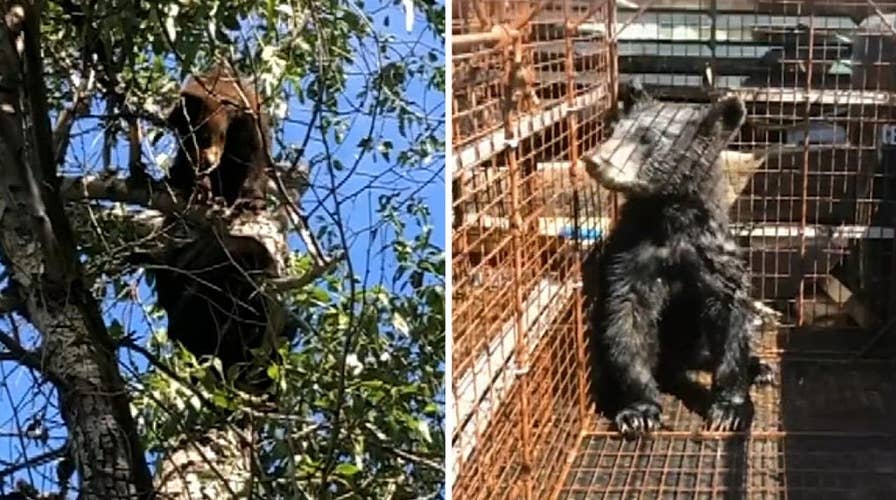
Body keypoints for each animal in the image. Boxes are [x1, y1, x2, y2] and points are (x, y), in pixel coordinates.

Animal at [166, 65, 271, 209]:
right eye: (188, 141)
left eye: (205, 138)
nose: (207, 163)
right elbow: (185, 159)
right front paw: (196, 186)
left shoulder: (249, 120)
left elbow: (254, 157)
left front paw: (252, 199)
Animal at [582, 81, 772, 438]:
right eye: (614, 130)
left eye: (648, 137)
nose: (595, 158)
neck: (670, 219)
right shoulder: (631, 253)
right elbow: (626, 317)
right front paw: (639, 411)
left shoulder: (714, 256)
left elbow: (730, 318)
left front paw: (730, 409)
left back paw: (761, 367)